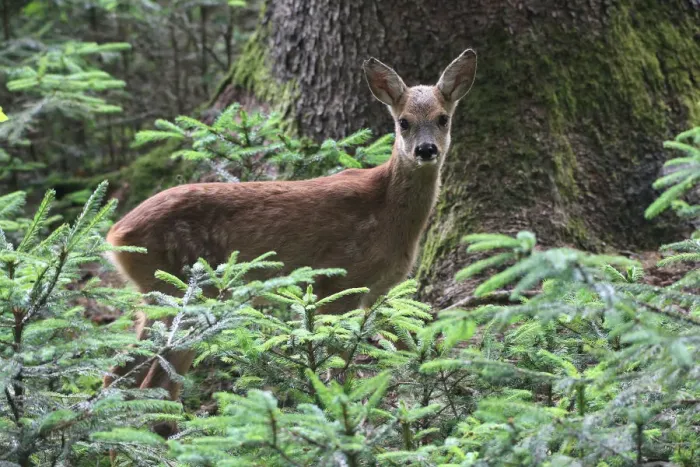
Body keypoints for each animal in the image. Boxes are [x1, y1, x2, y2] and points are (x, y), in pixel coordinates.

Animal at [103, 49, 477, 435]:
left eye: (443, 118)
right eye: (403, 122)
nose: (426, 150)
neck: (388, 213)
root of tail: (117, 234)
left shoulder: (374, 292)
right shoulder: (340, 281)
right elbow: (337, 364)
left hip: (164, 296)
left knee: (122, 375)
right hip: (181, 287)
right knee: (150, 379)